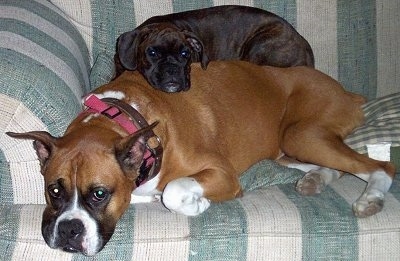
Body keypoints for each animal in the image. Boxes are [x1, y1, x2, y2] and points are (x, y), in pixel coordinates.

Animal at [6, 61, 394, 254]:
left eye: (99, 194)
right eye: (54, 191)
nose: (68, 230)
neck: (122, 118)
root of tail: (349, 92)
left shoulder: (223, 175)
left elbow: (174, 190)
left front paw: (196, 204)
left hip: (301, 134)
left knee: (381, 166)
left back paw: (371, 198)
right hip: (289, 149)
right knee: (337, 169)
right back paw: (315, 180)